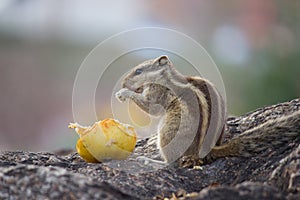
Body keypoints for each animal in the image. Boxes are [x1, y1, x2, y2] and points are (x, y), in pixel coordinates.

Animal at [115, 55, 300, 167]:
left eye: (138, 71)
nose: (123, 82)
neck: (166, 77)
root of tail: (206, 150)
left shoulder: (157, 92)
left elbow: (150, 107)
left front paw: (123, 93)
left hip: (168, 131)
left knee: (172, 162)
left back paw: (150, 160)